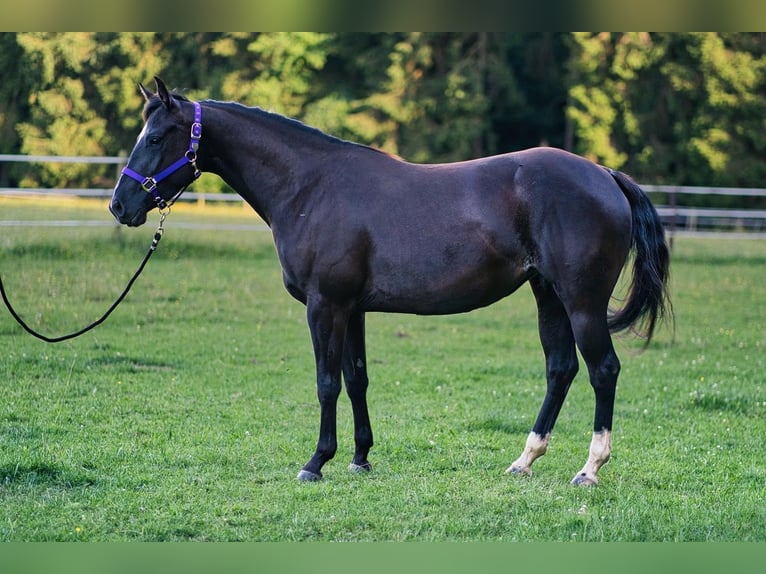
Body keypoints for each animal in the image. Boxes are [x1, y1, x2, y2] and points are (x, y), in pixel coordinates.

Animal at [110, 77, 671, 485]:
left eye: (155, 138)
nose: (120, 205)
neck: (310, 186)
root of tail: (604, 175)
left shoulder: (325, 306)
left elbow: (327, 383)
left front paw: (316, 462)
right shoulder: (352, 308)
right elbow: (356, 379)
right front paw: (359, 458)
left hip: (581, 302)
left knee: (603, 370)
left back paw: (589, 469)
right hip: (548, 295)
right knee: (560, 369)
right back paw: (525, 460)